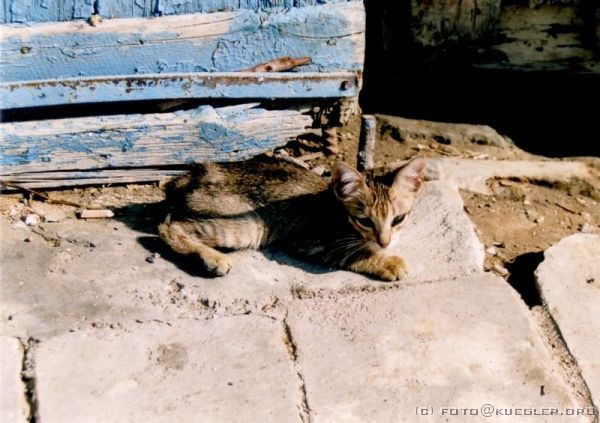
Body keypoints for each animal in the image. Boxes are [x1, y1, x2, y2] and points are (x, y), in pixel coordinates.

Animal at [157, 156, 424, 282]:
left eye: (398, 219)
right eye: (365, 221)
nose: (384, 242)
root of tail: (187, 177)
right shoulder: (309, 239)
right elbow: (356, 253)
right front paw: (389, 263)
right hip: (252, 224)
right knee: (167, 226)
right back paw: (213, 259)